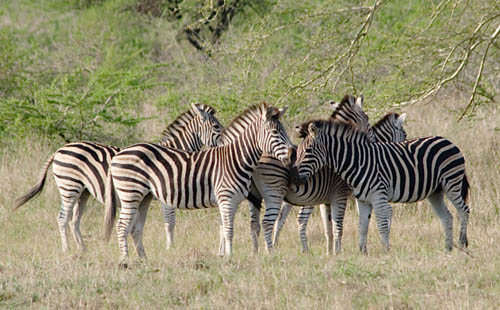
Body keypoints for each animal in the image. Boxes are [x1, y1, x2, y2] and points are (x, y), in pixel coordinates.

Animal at [14, 103, 222, 253]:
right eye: (216, 127)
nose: (225, 144)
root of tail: (59, 149)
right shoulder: (167, 193)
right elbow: (170, 222)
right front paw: (170, 248)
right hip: (69, 186)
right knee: (62, 218)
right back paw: (67, 250)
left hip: (83, 192)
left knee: (74, 220)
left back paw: (83, 249)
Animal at [104, 103, 292, 264]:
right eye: (275, 132)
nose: (292, 154)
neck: (235, 159)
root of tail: (117, 155)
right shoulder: (226, 199)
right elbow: (228, 230)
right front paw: (229, 257)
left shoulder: (231, 201)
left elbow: (224, 229)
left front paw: (223, 255)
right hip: (130, 193)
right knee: (122, 226)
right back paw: (125, 260)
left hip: (144, 197)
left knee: (135, 228)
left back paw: (144, 259)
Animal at [248, 95, 408, 254]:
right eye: (367, 118)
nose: (373, 141)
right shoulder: (350, 193)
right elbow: (378, 214)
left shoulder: (329, 199)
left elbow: (329, 228)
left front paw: (330, 252)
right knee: (293, 219)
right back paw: (287, 250)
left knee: (271, 220)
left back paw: (263, 249)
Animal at [292, 117, 468, 253]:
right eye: (298, 152)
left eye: (308, 151)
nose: (295, 178)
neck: (357, 162)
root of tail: (447, 140)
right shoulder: (362, 200)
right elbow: (362, 227)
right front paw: (362, 252)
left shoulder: (379, 196)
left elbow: (382, 225)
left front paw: (386, 251)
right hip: (434, 192)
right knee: (447, 217)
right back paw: (448, 248)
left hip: (452, 183)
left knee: (464, 210)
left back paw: (463, 243)